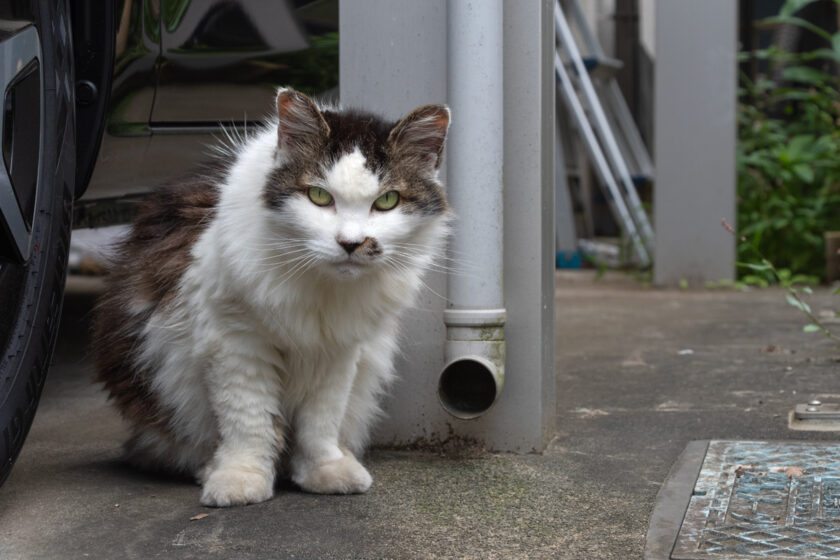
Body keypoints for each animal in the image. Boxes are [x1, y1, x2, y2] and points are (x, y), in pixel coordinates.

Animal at [90, 87, 452, 508]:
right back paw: (208, 467)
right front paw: (240, 479)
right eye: (318, 196)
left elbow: (320, 422)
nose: (351, 243)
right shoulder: (235, 343)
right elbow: (249, 420)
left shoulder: (338, 351)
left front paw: (324, 471)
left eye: (388, 201)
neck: (322, 290)